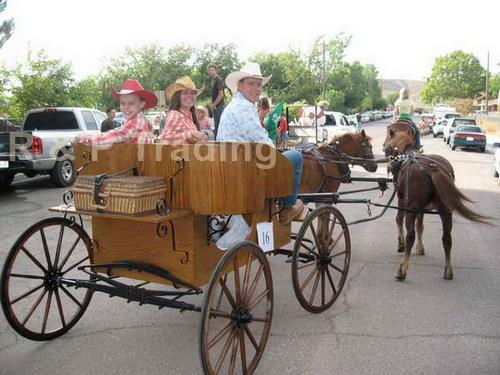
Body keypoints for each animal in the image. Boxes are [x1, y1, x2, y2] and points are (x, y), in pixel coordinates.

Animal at [382, 131, 488, 280]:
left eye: (387, 145)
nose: (389, 165)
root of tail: (432, 169)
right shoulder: (421, 208)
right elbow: (420, 226)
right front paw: (420, 248)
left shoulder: (403, 201)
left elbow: (399, 220)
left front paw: (401, 244)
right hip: (445, 210)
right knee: (447, 238)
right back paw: (448, 270)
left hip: (412, 209)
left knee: (411, 235)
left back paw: (403, 270)